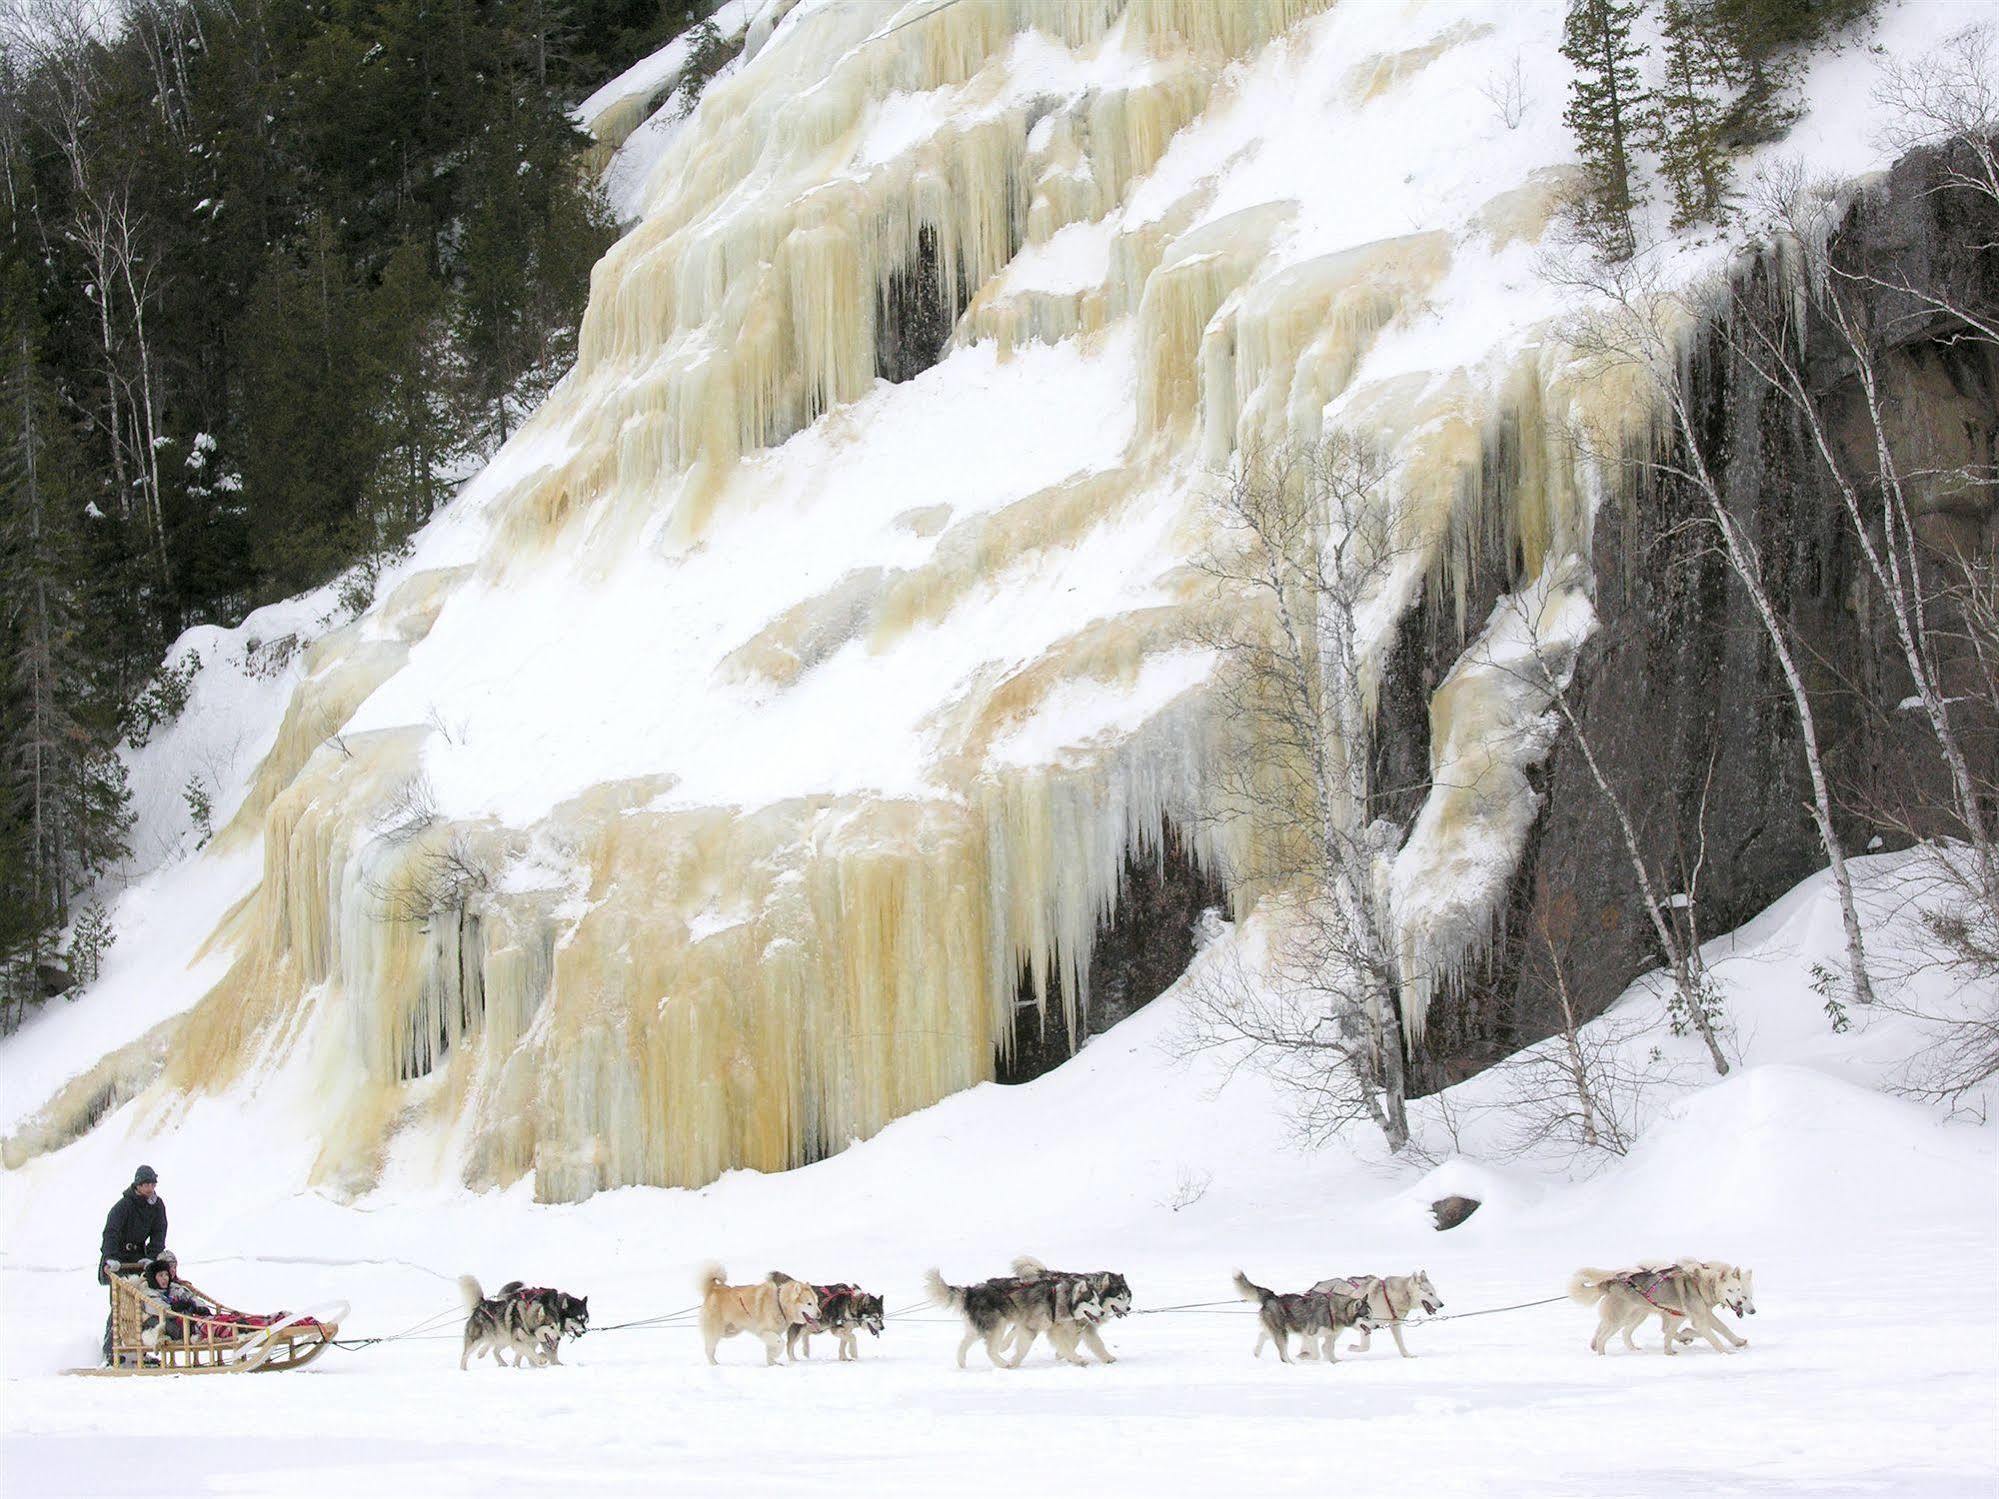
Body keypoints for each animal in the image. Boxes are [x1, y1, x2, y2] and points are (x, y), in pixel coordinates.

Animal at [923, 1271, 1111, 1375]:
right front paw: (1014, 1363)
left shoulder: (1053, 1329)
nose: (1102, 1312)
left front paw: (1075, 1359)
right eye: (1091, 1303)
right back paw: (1003, 1363)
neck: (1059, 1298)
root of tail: (971, 1291)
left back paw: (962, 1364)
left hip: (978, 1328)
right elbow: (1023, 1350)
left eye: (1098, 1302)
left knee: (963, 1344)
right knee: (990, 1350)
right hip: (997, 1325)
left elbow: (1066, 1346)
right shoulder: (1031, 1328)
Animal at [1007, 1263, 1135, 1367]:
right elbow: (1097, 1343)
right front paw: (1107, 1358)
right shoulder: (1076, 1326)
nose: (1128, 1308)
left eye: (1127, 1297)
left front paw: (1062, 1354)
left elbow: (1074, 1341)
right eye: (1119, 1298)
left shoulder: (1077, 1326)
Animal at [1231, 1271, 1375, 1367]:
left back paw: (1256, 1353)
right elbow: (1316, 1354)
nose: (1377, 1326)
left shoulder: (1330, 1336)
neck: (1333, 1310)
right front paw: (1305, 1356)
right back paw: (1290, 1363)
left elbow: (1329, 1350)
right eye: (1367, 1317)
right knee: (1282, 1354)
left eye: (1372, 1316)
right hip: (1282, 1333)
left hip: (1276, 1330)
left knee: (1262, 1335)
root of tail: (1272, 1297)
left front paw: (1334, 1362)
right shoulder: (1311, 1335)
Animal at [1303, 1271, 1447, 1359]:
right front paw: (1352, 1348)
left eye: (1435, 1293)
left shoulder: (1394, 1324)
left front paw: (1407, 1355)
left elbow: (1400, 1344)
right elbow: (1365, 1347)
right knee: (1320, 1344)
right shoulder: (1364, 1323)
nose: (1442, 1304)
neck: (1392, 1296)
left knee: (1321, 1345)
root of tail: (1313, 1289)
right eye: (1430, 1294)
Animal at [1567, 1263, 1759, 1359]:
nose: (1740, 1302)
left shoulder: (1692, 1316)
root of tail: (1612, 1281)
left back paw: (1633, 1349)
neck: (1701, 1284)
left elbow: (1723, 1329)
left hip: (1636, 1317)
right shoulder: (1698, 1319)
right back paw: (1602, 1356)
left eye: (1741, 1292)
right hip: (1619, 1320)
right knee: (1602, 1336)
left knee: (1621, 1332)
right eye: (1730, 1290)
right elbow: (1713, 1338)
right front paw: (1727, 1353)